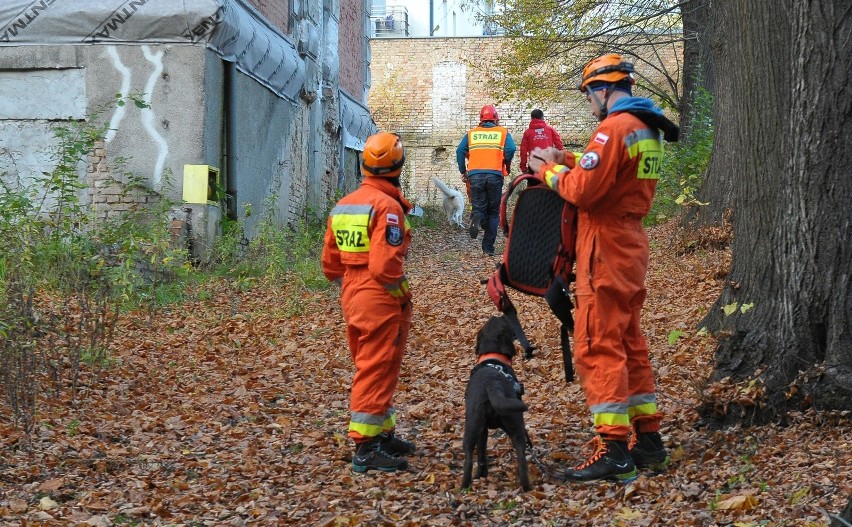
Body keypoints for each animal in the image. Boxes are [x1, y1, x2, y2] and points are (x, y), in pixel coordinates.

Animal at [462, 314, 528, 490]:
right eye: (505, 323)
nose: (501, 314)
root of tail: (493, 384)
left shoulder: (482, 430)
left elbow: (481, 453)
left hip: (472, 426)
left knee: (469, 459)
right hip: (514, 423)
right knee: (522, 457)